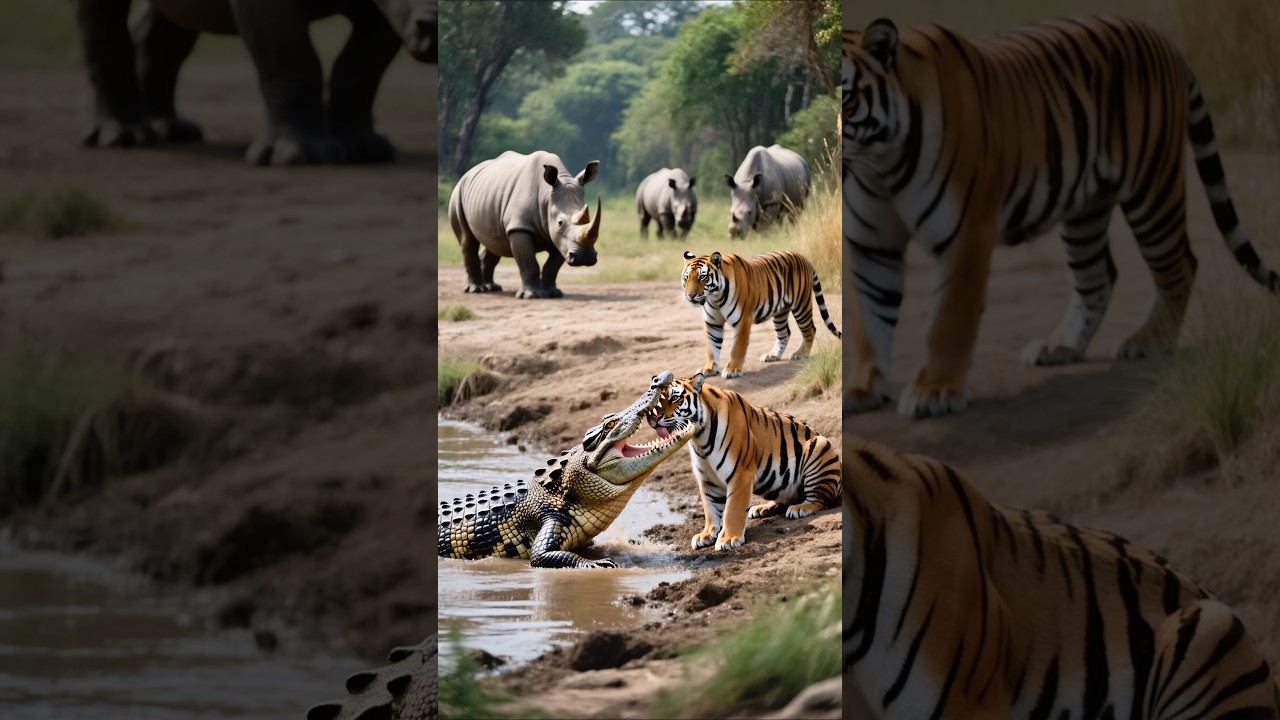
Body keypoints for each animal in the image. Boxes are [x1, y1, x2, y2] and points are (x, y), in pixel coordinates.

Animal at [647, 373, 839, 551]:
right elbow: (710, 509)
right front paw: (706, 535)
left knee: (821, 500)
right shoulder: (707, 480)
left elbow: (733, 509)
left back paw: (800, 508)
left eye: (674, 398)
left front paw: (728, 539)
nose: (653, 418)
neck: (699, 438)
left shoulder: (740, 474)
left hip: (820, 446)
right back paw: (762, 508)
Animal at [681, 250, 841, 379]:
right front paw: (709, 368)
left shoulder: (743, 320)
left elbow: (737, 347)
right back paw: (773, 355)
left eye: (702, 277)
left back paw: (801, 353)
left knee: (810, 330)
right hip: (780, 312)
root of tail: (805, 258)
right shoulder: (712, 323)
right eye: (686, 277)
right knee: (785, 333)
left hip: (801, 306)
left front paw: (733, 370)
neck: (715, 298)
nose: (690, 295)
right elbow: (711, 347)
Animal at [843, 16, 1280, 419]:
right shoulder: (871, 244)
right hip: (1085, 210)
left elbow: (948, 320)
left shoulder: (964, 235)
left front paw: (935, 392)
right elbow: (869, 321)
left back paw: (1149, 340)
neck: (879, 165)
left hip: (1153, 189)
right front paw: (862, 388)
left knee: (1181, 265)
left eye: (845, 96)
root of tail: (1163, 40)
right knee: (1098, 277)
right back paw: (1063, 346)